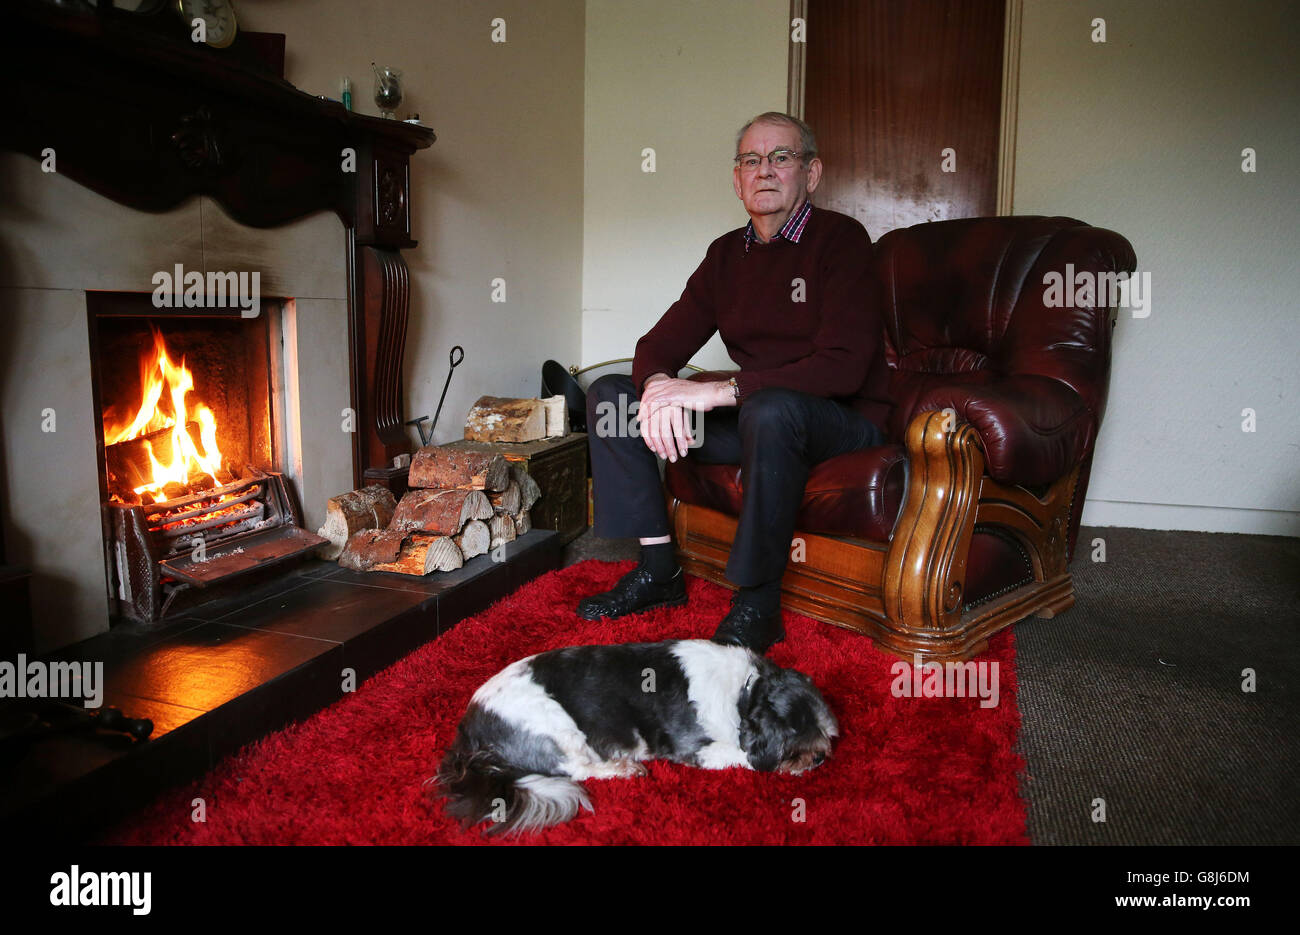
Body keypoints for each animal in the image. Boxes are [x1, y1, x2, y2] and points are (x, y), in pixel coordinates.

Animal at [436, 639, 842, 837]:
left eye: (826, 731)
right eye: (795, 735)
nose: (821, 757)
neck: (746, 690)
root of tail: (467, 736)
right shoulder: (695, 748)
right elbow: (743, 756)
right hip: (552, 723)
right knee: (579, 768)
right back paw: (624, 769)